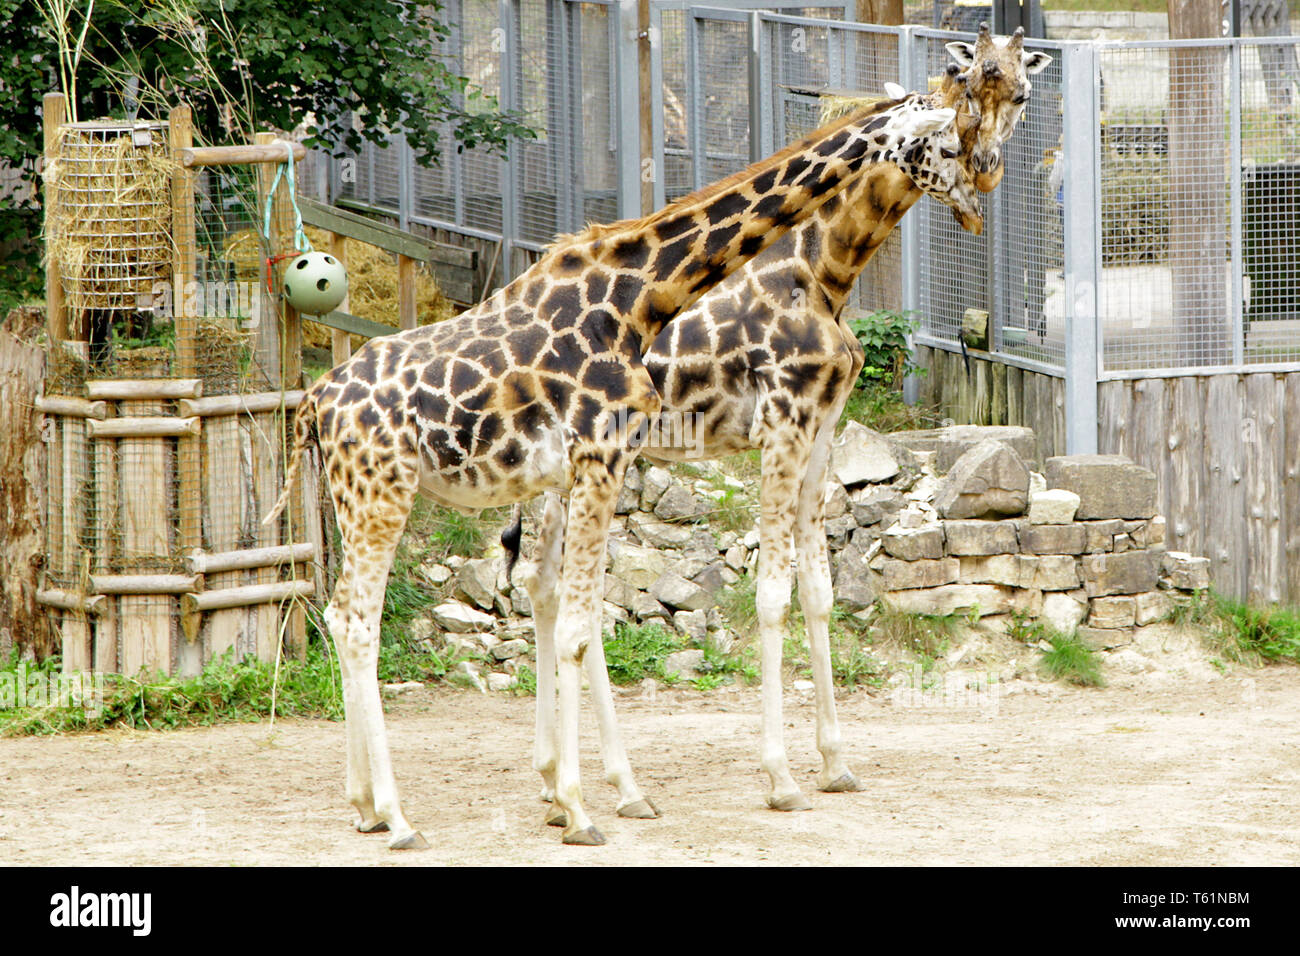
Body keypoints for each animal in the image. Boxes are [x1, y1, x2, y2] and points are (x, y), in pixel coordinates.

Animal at [265, 96, 981, 848]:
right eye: (948, 141)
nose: (976, 202)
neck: (637, 298)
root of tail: (313, 402)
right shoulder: (694, 440)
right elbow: (612, 622)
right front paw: (592, 808)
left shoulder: (784, 433)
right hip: (384, 495)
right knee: (361, 622)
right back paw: (404, 817)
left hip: (360, 497)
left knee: (356, 612)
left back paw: (369, 804)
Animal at [519, 31, 1051, 817]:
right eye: (961, 112)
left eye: (1020, 93)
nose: (984, 183)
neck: (825, 268)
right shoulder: (781, 426)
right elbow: (770, 595)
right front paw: (780, 777)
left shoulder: (823, 429)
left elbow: (819, 593)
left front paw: (835, 763)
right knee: (558, 592)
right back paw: (601, 786)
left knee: (547, 587)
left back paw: (568, 784)